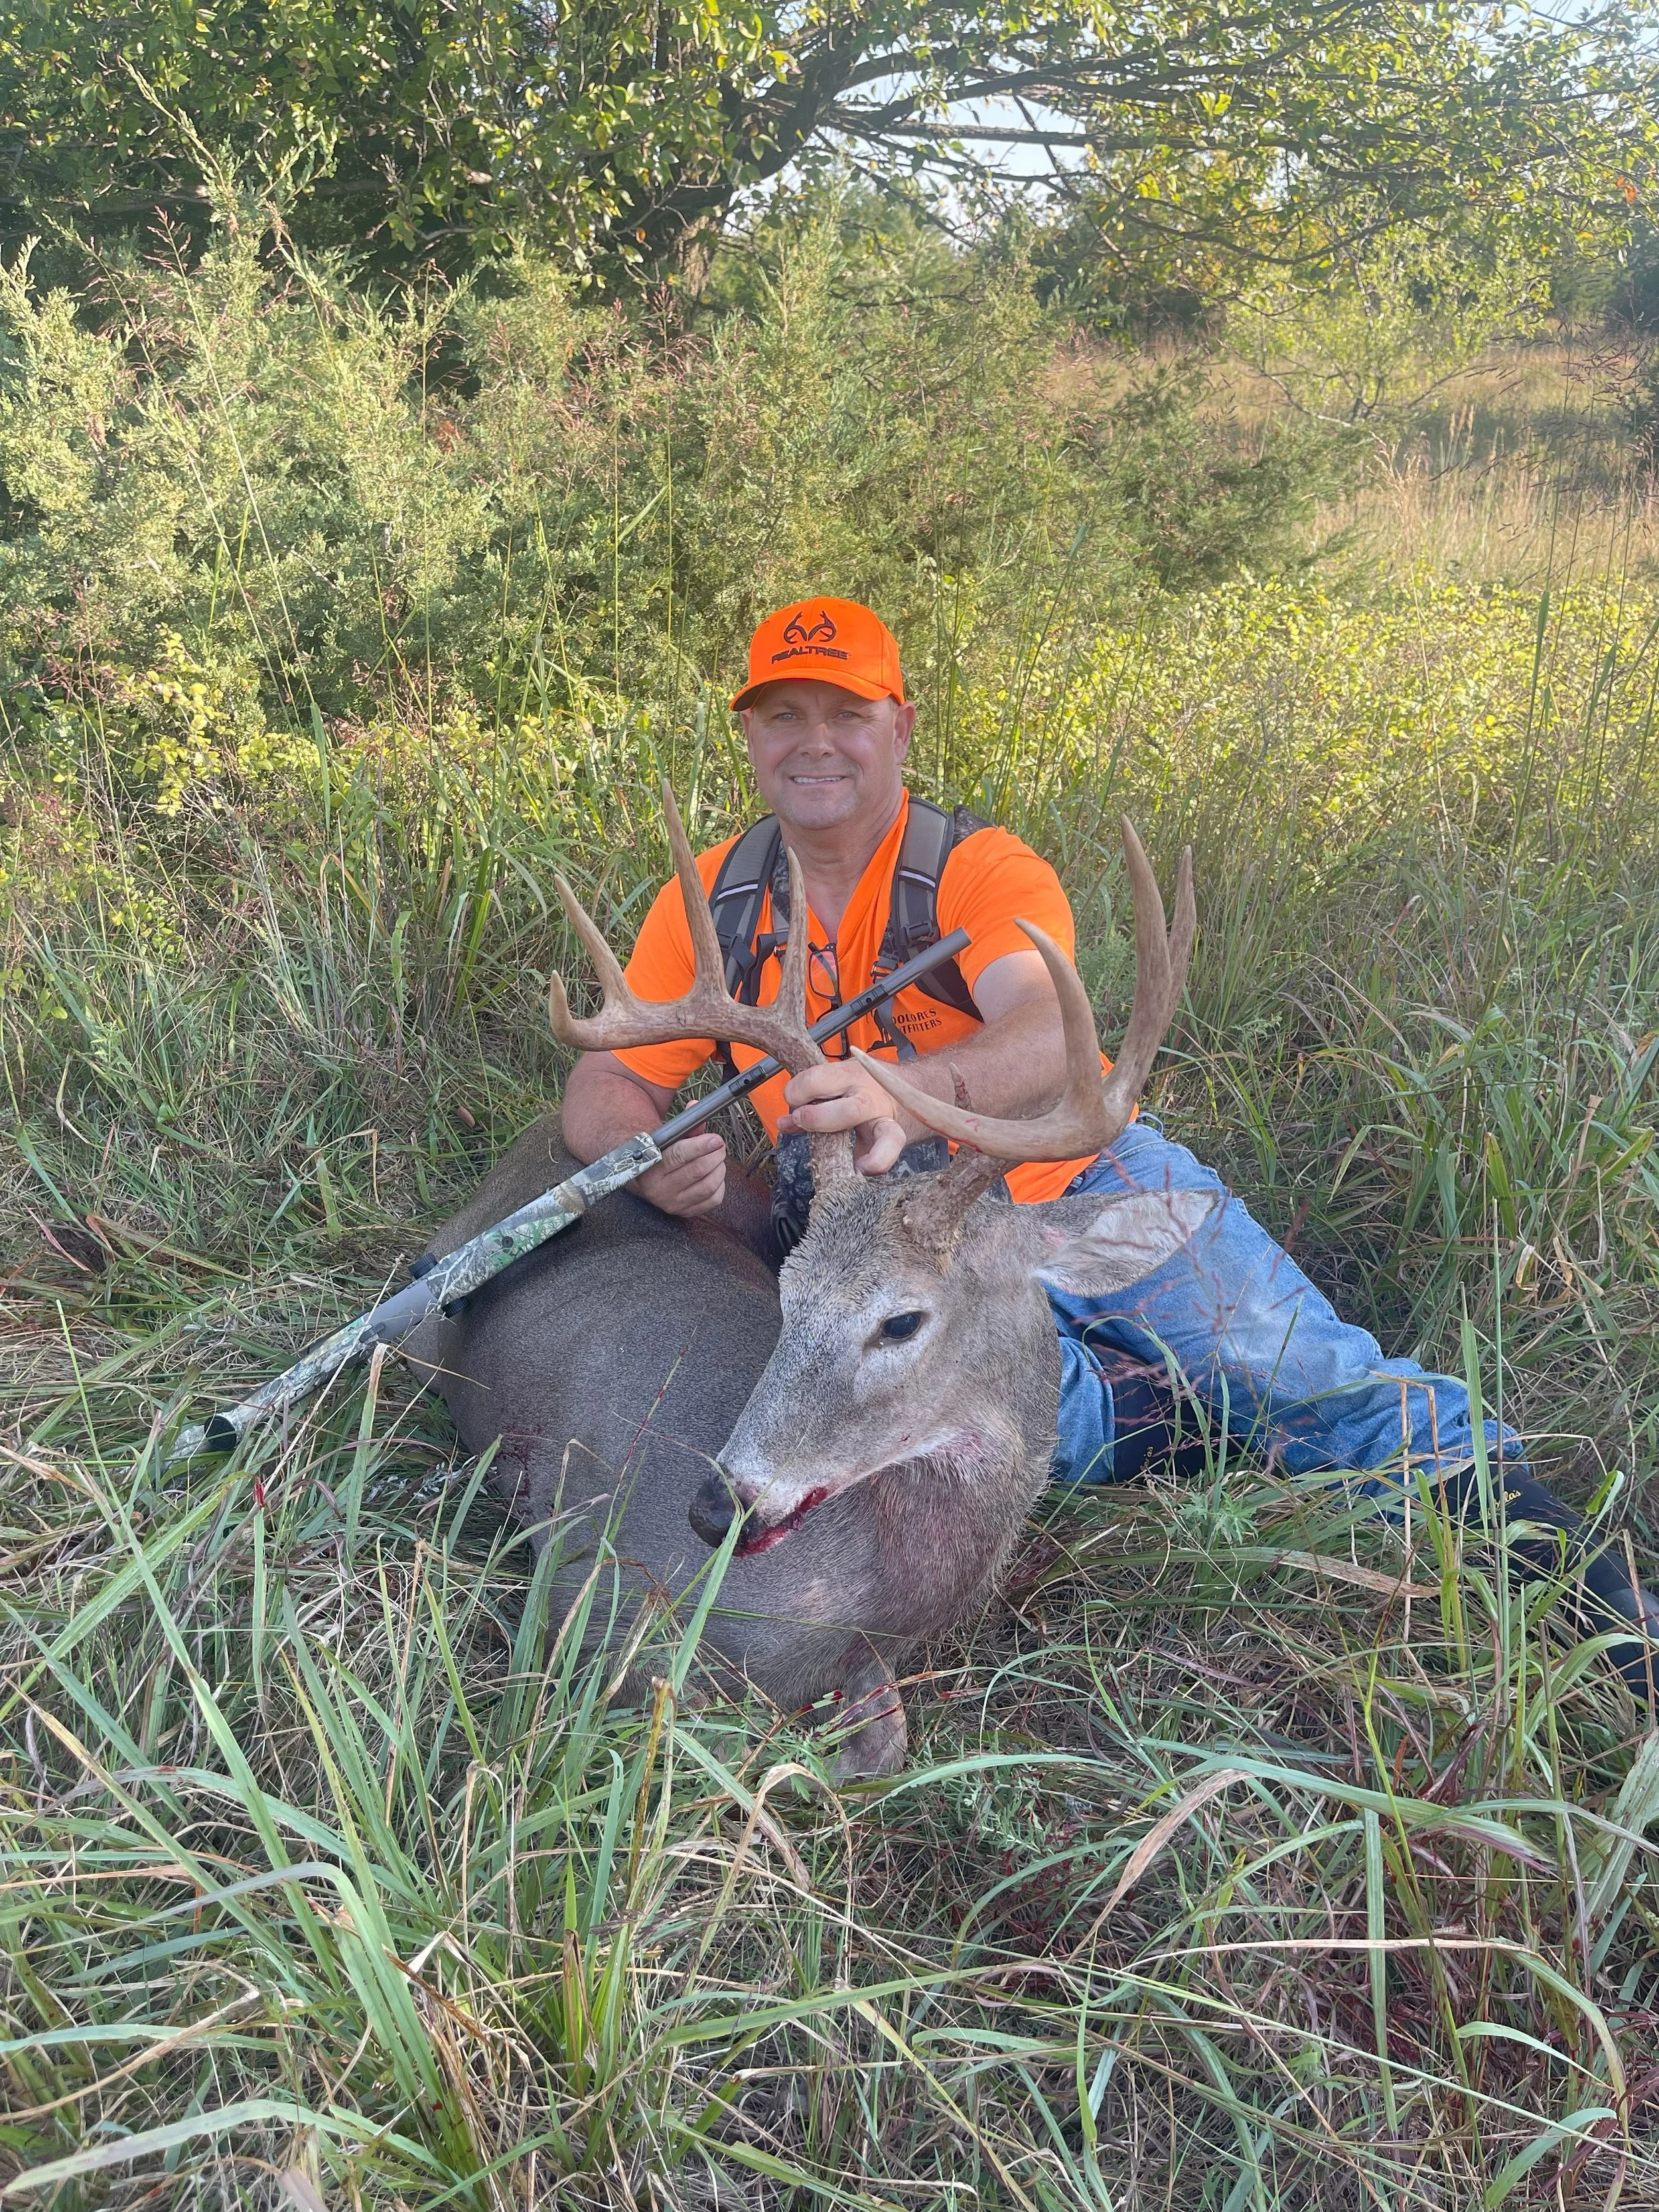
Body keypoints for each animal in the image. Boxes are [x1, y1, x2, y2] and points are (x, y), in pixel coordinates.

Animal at [407, 791, 1209, 1777]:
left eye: (901, 1321)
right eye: (787, 1295)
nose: (714, 1508)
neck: (864, 1590)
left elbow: (884, 1739)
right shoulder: (590, 1587)